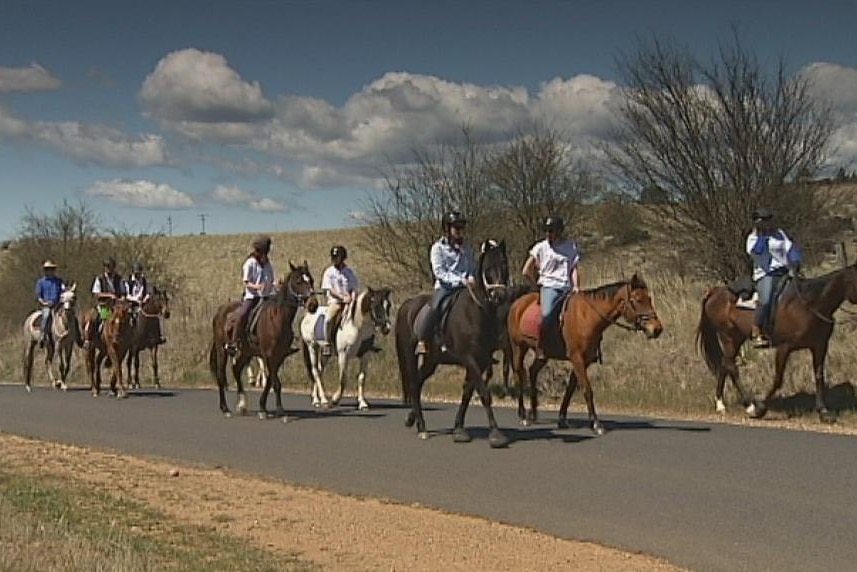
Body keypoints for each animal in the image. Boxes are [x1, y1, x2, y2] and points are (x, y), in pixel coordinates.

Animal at [207, 262, 318, 418]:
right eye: (298, 281)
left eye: (311, 280)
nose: (313, 304)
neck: (277, 318)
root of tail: (220, 311)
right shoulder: (269, 355)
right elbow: (276, 383)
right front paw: (280, 410)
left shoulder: (279, 356)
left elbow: (271, 381)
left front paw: (262, 408)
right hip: (222, 350)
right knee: (221, 376)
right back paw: (225, 408)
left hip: (246, 352)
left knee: (236, 370)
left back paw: (242, 404)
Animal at [392, 239, 508, 450]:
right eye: (487, 268)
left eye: (504, 265)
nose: (500, 296)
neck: (475, 311)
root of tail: (407, 306)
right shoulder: (469, 358)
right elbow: (484, 393)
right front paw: (496, 434)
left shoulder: (481, 361)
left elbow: (467, 393)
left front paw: (459, 429)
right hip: (410, 355)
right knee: (413, 383)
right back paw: (422, 428)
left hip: (431, 360)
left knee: (417, 383)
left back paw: (413, 420)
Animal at [508, 272, 664, 434]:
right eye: (638, 300)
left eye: (649, 299)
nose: (657, 329)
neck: (587, 317)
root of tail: (518, 304)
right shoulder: (577, 359)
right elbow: (587, 390)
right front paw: (596, 423)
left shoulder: (584, 361)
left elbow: (570, 389)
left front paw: (562, 419)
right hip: (518, 348)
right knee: (519, 376)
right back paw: (523, 416)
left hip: (542, 354)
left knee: (532, 371)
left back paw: (533, 413)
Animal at [696, 266, 856, 422]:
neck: (811, 303)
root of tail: (714, 292)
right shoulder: (784, 348)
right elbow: (778, 380)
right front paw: (760, 409)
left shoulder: (819, 346)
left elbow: (819, 376)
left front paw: (823, 412)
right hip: (729, 337)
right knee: (731, 367)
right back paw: (750, 406)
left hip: (736, 338)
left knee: (725, 364)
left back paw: (720, 404)